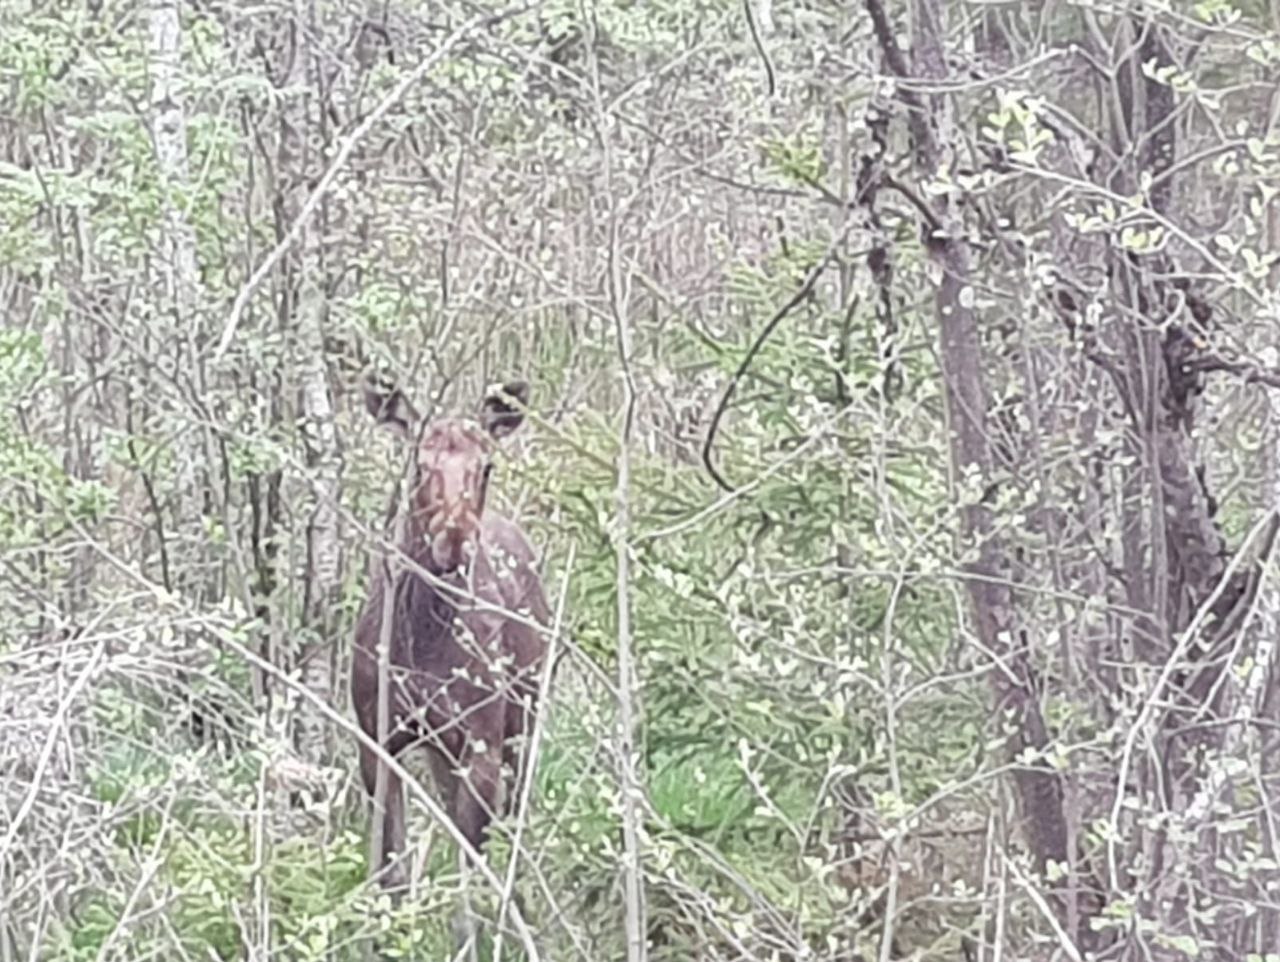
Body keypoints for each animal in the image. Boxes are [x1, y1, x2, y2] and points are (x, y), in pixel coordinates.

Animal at [353, 376, 547, 885]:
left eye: (487, 466)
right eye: (420, 465)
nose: (456, 538)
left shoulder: (482, 745)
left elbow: (472, 870)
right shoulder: (376, 738)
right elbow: (391, 871)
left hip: (522, 720)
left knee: (512, 829)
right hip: (444, 752)